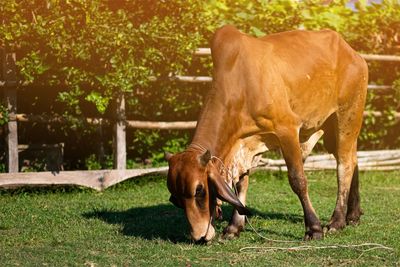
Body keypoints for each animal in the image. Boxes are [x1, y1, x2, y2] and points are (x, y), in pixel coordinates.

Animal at [164, 25, 368, 245]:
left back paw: (337, 221)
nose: (199, 236)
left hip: (347, 116)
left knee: (344, 165)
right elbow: (241, 183)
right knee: (352, 158)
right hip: (331, 127)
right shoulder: (245, 142)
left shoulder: (287, 129)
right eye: (175, 199)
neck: (239, 84)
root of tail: (352, 53)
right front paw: (234, 227)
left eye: (199, 190)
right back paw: (352, 216)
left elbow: (298, 180)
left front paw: (314, 229)